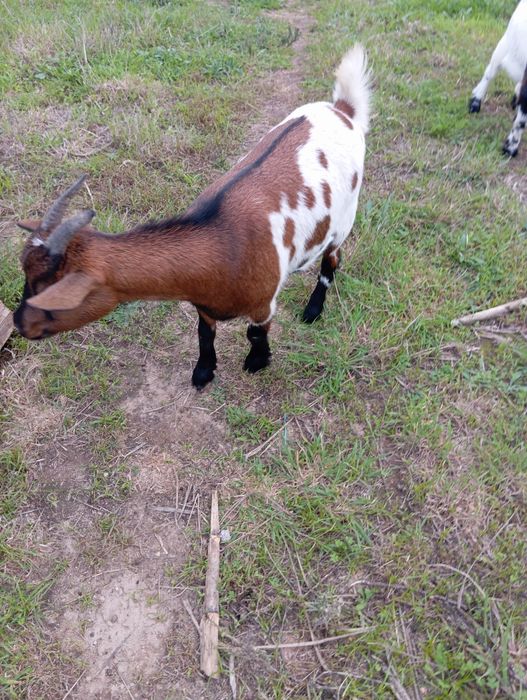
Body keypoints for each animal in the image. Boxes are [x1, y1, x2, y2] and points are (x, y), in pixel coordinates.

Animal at [14, 45, 371, 389]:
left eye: (49, 292)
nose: (19, 324)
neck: (224, 243)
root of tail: (342, 109)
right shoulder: (204, 303)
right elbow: (204, 333)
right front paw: (203, 373)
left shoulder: (262, 304)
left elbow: (255, 332)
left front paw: (256, 363)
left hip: (344, 218)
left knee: (331, 260)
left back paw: (313, 310)